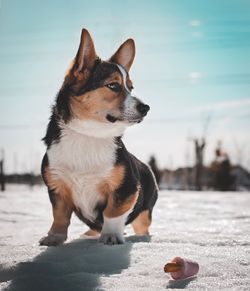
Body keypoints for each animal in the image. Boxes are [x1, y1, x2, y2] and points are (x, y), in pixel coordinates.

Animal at [40, 29, 158, 246]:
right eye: (113, 85)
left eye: (130, 87)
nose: (146, 108)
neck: (90, 133)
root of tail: (147, 167)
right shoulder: (57, 186)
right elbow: (59, 215)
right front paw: (54, 237)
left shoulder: (126, 188)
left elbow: (113, 212)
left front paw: (110, 236)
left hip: (145, 209)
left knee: (142, 224)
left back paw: (139, 238)